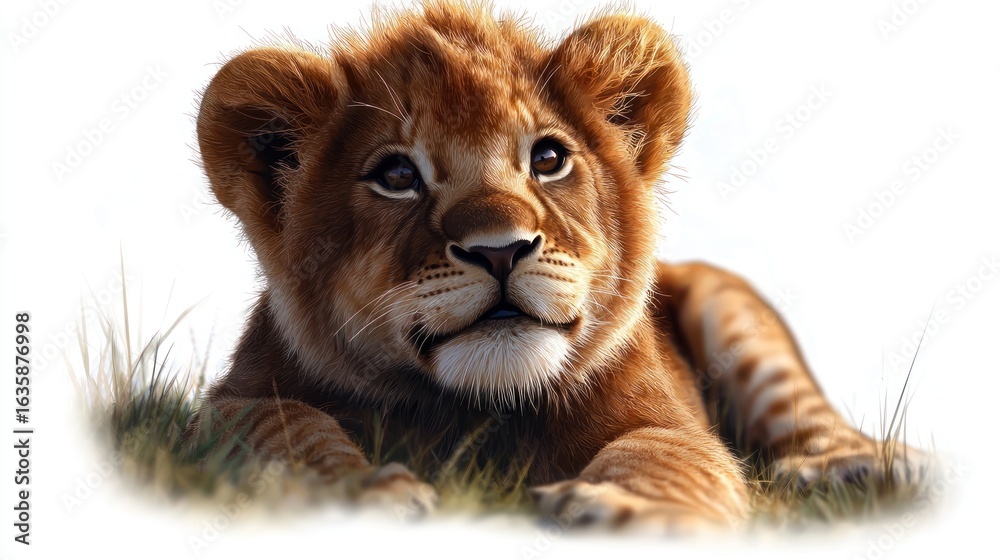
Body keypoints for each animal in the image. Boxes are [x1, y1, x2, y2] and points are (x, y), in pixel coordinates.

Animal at [193, 0, 926, 529]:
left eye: (548, 159)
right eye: (397, 176)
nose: (500, 248)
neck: (480, 410)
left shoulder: (669, 421)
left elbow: (664, 458)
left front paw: (623, 509)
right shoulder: (234, 399)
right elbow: (289, 430)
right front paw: (362, 493)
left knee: (808, 419)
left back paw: (858, 468)